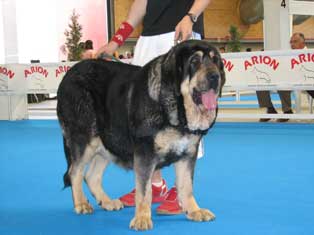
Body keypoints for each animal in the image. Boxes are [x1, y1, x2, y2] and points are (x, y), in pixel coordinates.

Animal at [57, 40, 226, 229]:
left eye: (216, 61)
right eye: (195, 61)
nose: (215, 77)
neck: (176, 108)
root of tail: (69, 73)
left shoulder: (188, 154)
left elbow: (186, 186)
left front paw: (194, 210)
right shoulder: (145, 153)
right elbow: (145, 191)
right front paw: (142, 218)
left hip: (108, 140)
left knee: (91, 176)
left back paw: (107, 202)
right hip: (84, 138)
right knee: (75, 172)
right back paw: (81, 204)